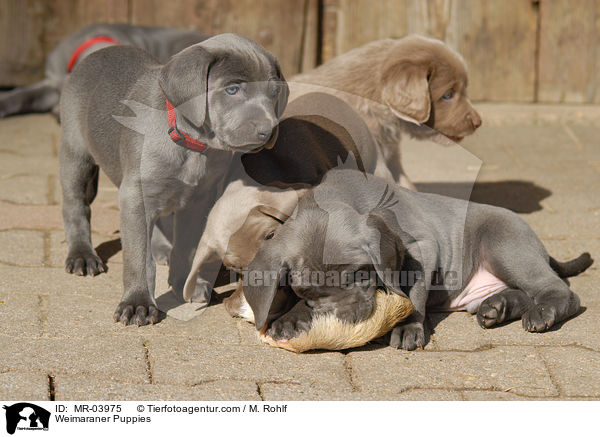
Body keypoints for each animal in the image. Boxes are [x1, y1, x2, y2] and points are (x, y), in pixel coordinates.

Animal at [59, 34, 290, 326]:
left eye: (274, 93)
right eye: (232, 90)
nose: (268, 130)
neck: (192, 146)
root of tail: (95, 55)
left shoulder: (199, 200)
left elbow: (186, 247)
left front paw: (182, 284)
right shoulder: (136, 195)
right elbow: (138, 255)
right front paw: (137, 302)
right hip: (75, 155)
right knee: (76, 207)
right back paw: (82, 255)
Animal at [243, 169, 592, 350]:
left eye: (359, 274)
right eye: (304, 291)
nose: (343, 319)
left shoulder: (423, 249)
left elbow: (414, 297)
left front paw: (408, 327)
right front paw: (291, 318)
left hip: (503, 242)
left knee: (558, 290)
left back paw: (542, 313)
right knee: (522, 292)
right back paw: (497, 307)